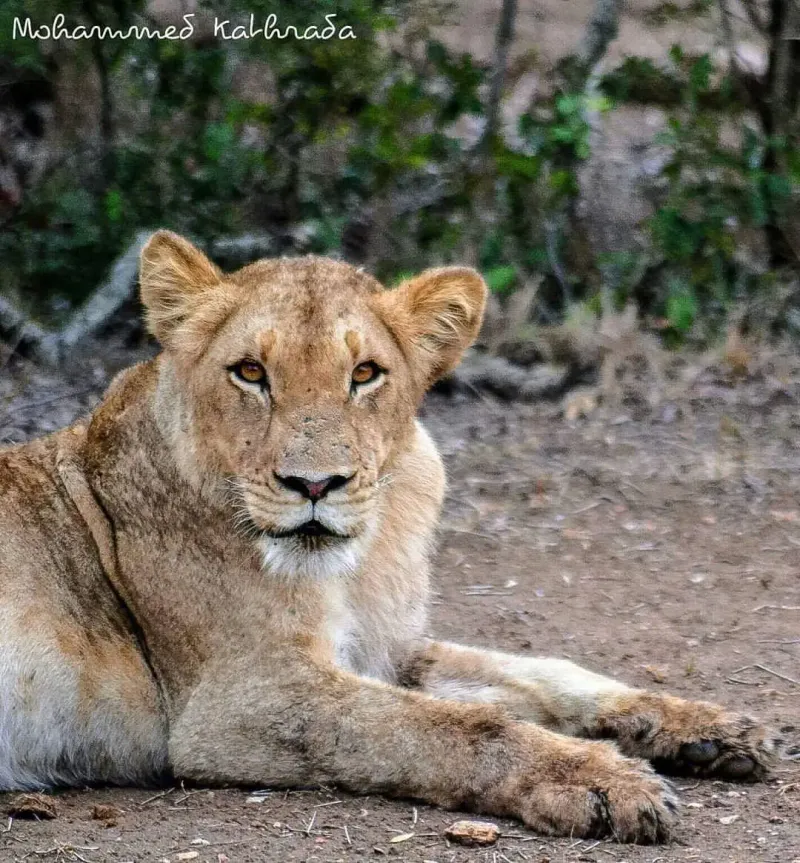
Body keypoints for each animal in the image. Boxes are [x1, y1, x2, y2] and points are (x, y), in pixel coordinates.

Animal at [0, 231, 776, 841]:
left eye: (365, 373)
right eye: (251, 372)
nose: (315, 485)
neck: (358, 562)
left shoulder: (387, 649)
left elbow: (549, 674)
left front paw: (712, 728)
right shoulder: (240, 700)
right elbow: (454, 727)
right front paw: (603, 781)